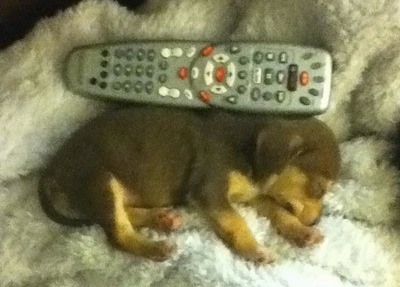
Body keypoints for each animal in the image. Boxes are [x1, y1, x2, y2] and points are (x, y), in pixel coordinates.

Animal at [39, 107, 340, 264]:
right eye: (318, 189)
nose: (317, 221)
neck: (248, 149)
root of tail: (54, 164)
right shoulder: (210, 192)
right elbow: (237, 223)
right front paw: (255, 251)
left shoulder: (252, 194)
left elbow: (278, 212)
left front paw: (302, 233)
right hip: (99, 180)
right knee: (118, 232)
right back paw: (156, 249)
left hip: (111, 187)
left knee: (124, 213)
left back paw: (162, 219)